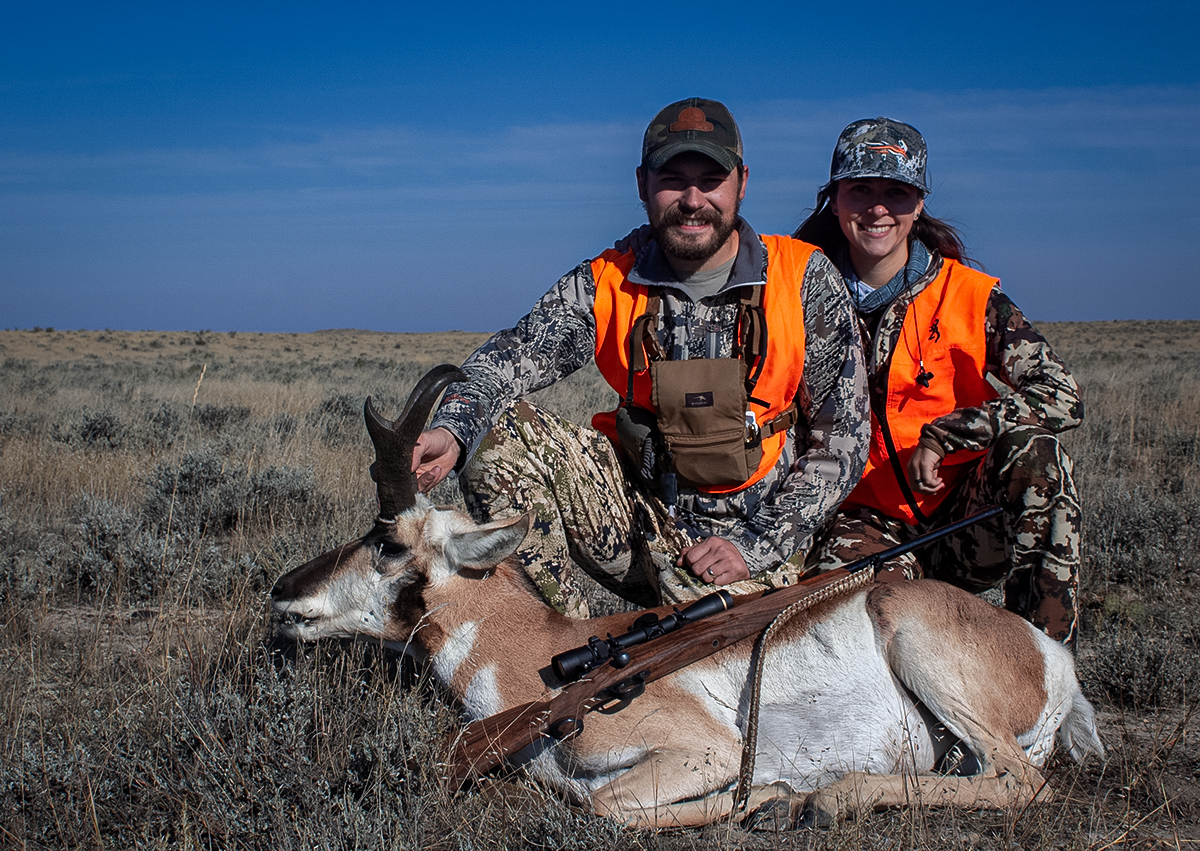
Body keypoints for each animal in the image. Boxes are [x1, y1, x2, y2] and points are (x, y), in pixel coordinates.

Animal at [272, 362, 1104, 820]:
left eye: (385, 541)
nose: (282, 591)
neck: (539, 657)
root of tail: (1050, 656)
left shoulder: (704, 751)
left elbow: (602, 803)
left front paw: (768, 796)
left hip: (910, 630)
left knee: (1025, 784)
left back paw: (822, 800)